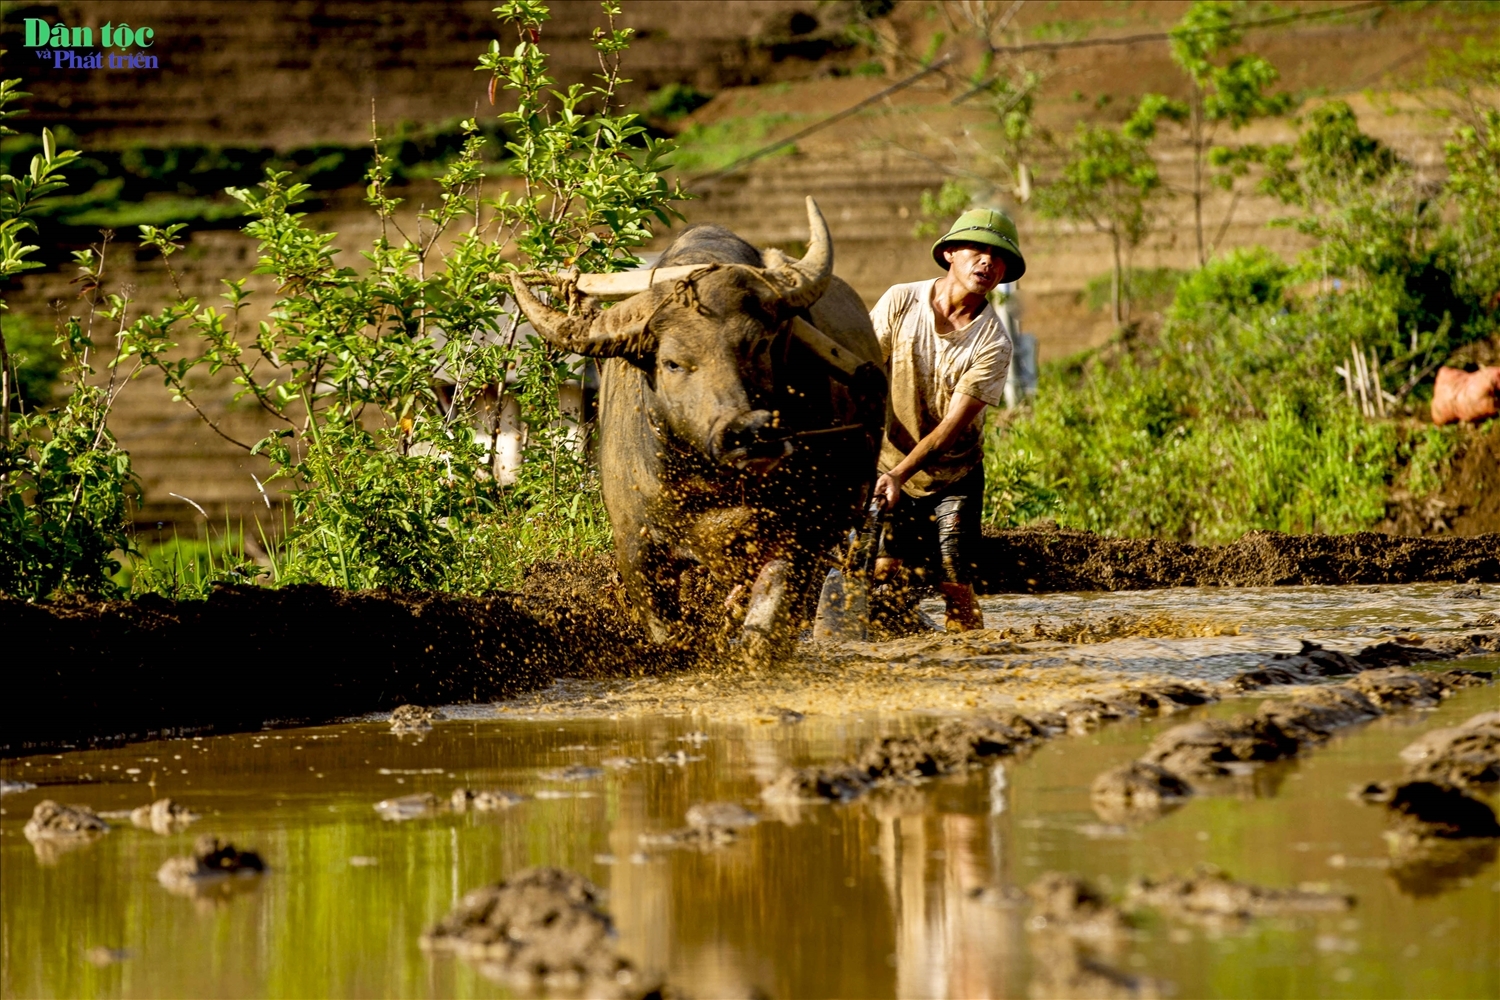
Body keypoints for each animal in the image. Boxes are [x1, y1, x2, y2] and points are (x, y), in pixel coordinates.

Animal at [516, 197, 888, 665]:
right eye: (673, 362)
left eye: (759, 344)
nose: (748, 430)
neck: (711, 485)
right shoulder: (637, 549)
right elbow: (669, 633)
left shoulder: (800, 533)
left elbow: (766, 624)